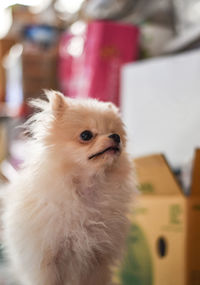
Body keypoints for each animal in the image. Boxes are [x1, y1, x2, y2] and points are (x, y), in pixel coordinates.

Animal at [1, 91, 135, 284]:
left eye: (116, 133)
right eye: (86, 135)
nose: (115, 138)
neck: (87, 189)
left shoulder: (97, 260)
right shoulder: (48, 262)